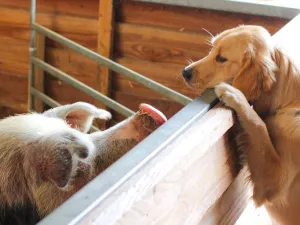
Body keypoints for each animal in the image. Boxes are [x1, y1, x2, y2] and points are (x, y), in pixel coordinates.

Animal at [183, 25, 300, 224]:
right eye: (212, 48)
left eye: (221, 58)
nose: (185, 72)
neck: (288, 101)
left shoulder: (275, 181)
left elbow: (258, 125)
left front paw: (236, 95)